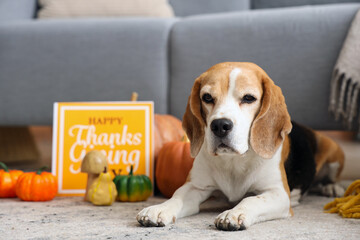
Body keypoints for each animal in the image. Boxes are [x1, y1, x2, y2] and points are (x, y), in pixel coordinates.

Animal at [136, 62, 344, 231]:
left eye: (249, 98)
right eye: (207, 97)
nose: (220, 125)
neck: (234, 160)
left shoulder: (278, 193)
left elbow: (251, 199)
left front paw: (234, 213)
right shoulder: (196, 187)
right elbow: (176, 197)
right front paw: (159, 209)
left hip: (334, 151)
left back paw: (332, 188)